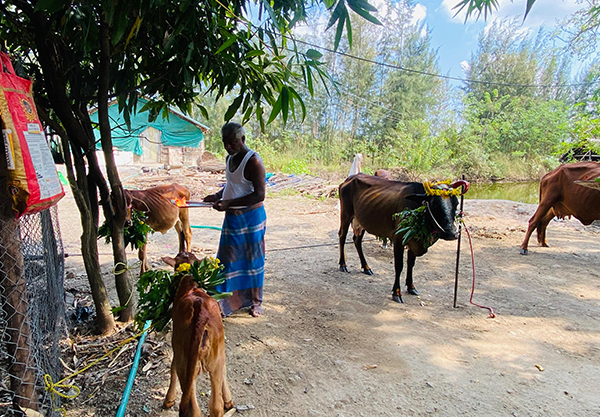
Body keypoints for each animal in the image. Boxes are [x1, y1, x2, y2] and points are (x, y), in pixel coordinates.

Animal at [162, 251, 235, 417]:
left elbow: (172, 366)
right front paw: (229, 401)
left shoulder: (176, 349)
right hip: (212, 361)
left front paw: (169, 399)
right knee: (215, 406)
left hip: (186, 365)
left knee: (195, 409)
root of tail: (200, 312)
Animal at [338, 174, 468, 303]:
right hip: (346, 214)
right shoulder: (398, 240)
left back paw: (366, 268)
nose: (451, 233)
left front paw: (411, 287)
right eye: (435, 204)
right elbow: (399, 266)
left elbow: (411, 264)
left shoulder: (414, 242)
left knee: (357, 240)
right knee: (342, 236)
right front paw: (397, 293)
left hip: (362, 221)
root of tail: (351, 178)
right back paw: (343, 265)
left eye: (456, 203)